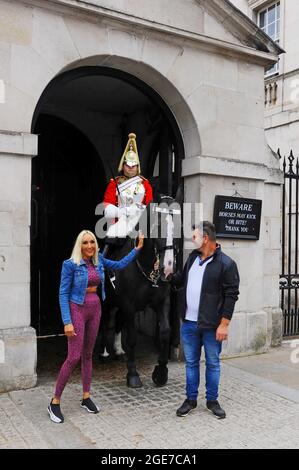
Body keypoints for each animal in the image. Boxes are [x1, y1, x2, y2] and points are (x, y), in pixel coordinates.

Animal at [101, 193, 182, 388]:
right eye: (158, 226)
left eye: (179, 227)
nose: (168, 270)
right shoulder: (129, 305)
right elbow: (132, 338)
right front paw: (132, 374)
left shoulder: (162, 302)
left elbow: (165, 332)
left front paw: (161, 372)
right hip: (107, 300)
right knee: (105, 321)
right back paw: (105, 353)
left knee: (118, 322)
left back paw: (118, 350)